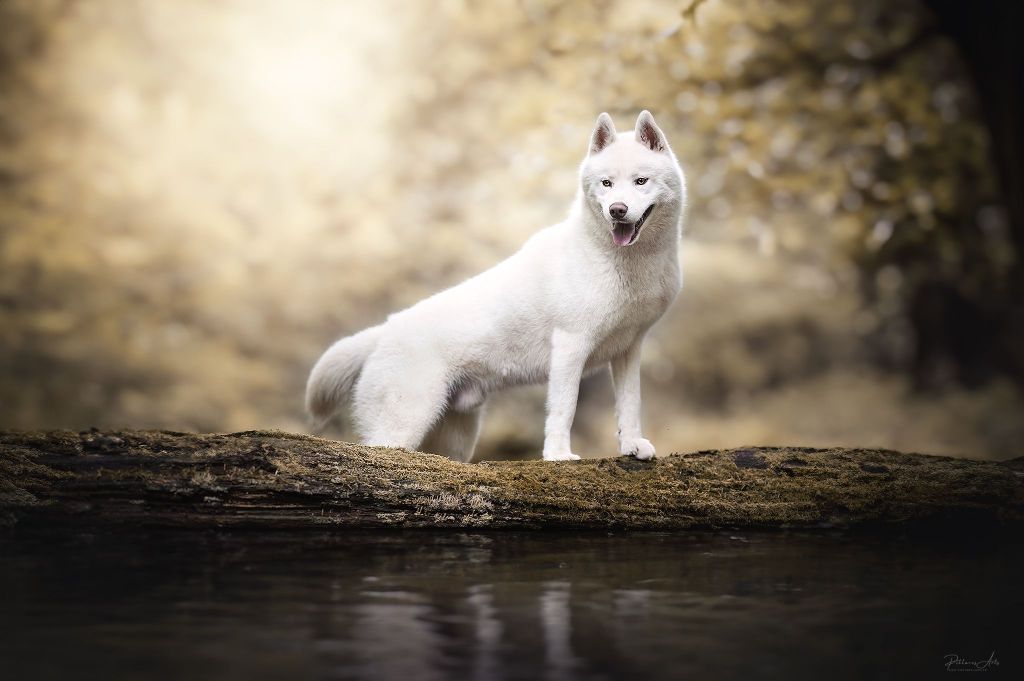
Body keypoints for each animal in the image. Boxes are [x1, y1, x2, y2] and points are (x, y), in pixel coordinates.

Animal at [305, 111, 688, 462]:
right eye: (607, 184)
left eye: (640, 181)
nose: (617, 210)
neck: (625, 263)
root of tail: (385, 330)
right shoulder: (570, 346)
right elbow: (564, 410)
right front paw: (558, 456)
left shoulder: (629, 349)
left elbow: (630, 405)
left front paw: (632, 446)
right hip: (403, 425)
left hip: (454, 440)